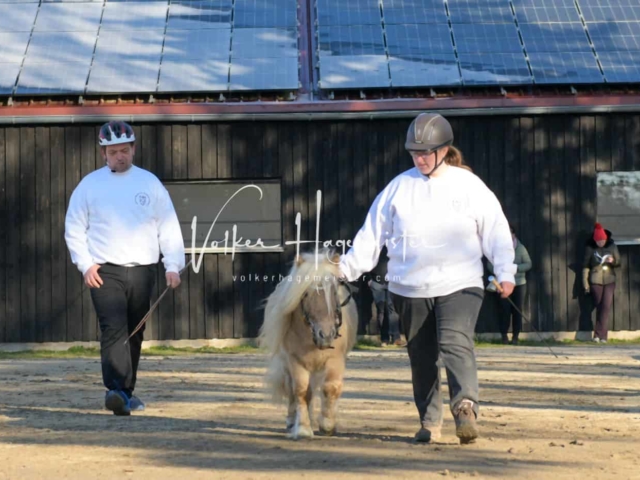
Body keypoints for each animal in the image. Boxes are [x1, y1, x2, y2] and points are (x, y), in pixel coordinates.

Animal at [260, 251, 360, 438]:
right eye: (305, 293)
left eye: (334, 291)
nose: (326, 335)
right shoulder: (295, 361)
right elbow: (300, 390)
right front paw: (303, 428)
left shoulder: (335, 360)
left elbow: (331, 388)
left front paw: (327, 424)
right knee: (293, 390)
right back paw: (292, 420)